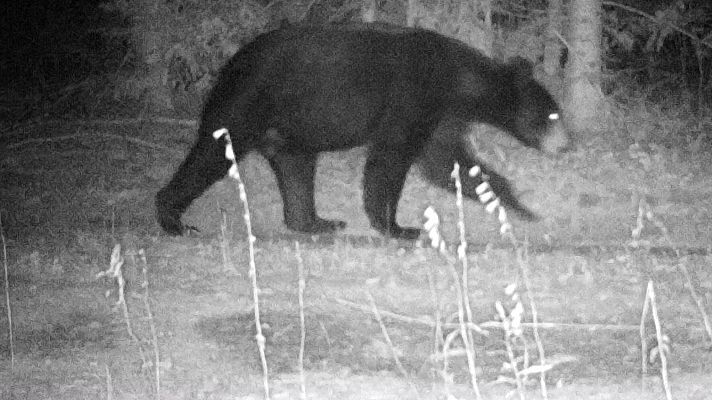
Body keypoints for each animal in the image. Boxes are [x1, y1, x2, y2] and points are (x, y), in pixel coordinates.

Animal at [156, 21, 568, 239]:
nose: (566, 145)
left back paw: (317, 222)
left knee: (296, 170)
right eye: (552, 115)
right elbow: (391, 159)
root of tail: (230, 63)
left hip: (291, 130)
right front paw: (399, 227)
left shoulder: (439, 116)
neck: (456, 81)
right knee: (212, 152)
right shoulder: (411, 97)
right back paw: (173, 219)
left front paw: (520, 207)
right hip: (248, 102)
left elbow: (449, 162)